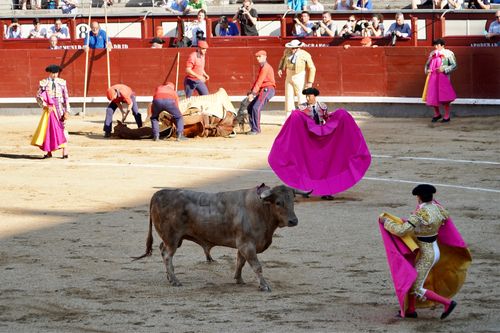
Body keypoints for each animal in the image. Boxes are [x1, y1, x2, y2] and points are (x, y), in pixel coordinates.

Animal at [135, 183, 310, 290]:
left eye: (292, 200)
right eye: (278, 202)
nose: (293, 221)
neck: (260, 208)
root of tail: (159, 193)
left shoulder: (242, 245)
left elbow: (240, 262)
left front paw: (239, 279)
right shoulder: (247, 245)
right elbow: (256, 266)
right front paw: (264, 285)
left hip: (173, 239)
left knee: (162, 249)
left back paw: (169, 278)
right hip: (172, 238)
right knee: (167, 255)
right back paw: (175, 280)